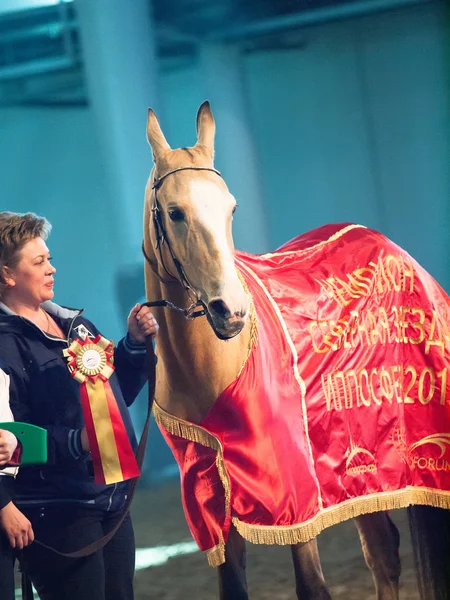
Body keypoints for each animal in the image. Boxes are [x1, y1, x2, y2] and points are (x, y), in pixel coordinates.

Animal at [142, 101, 450, 596]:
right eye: (175, 212)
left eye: (231, 207)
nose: (231, 310)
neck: (214, 368)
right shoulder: (212, 504)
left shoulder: (293, 500)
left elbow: (311, 586)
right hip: (365, 475)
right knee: (383, 553)